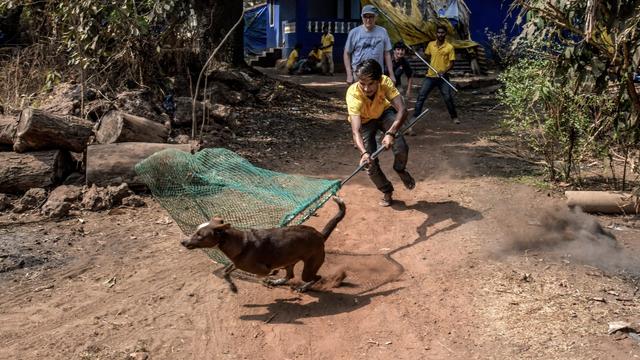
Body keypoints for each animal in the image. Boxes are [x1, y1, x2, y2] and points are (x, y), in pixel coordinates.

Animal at [182, 197, 344, 292]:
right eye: (196, 230)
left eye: (200, 235)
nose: (183, 242)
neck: (241, 243)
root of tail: (320, 235)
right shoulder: (237, 263)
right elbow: (226, 271)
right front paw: (232, 285)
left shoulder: (260, 268)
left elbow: (263, 273)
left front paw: (271, 274)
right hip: (289, 261)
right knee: (290, 275)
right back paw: (278, 282)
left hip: (309, 268)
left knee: (316, 277)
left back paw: (303, 287)